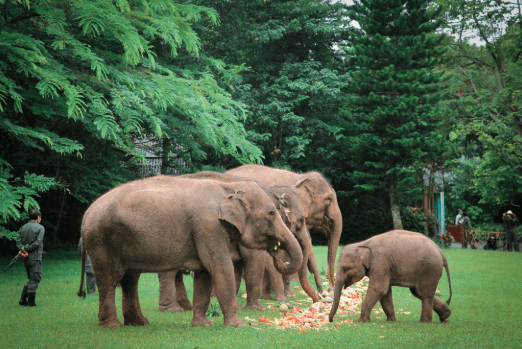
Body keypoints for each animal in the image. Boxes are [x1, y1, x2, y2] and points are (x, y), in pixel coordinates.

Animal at [79, 177, 302, 326]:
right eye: (272, 213)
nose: (276, 252)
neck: (228, 187)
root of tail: (86, 214)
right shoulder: (207, 226)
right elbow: (220, 267)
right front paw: (238, 325)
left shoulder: (206, 230)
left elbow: (204, 272)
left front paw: (203, 325)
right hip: (103, 241)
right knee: (109, 280)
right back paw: (112, 326)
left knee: (130, 279)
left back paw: (140, 323)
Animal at [155, 170, 320, 312]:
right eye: (301, 220)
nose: (320, 297)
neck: (270, 190)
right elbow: (255, 258)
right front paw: (262, 306)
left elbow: (238, 265)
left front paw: (241, 307)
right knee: (170, 271)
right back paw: (172, 309)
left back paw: (186, 307)